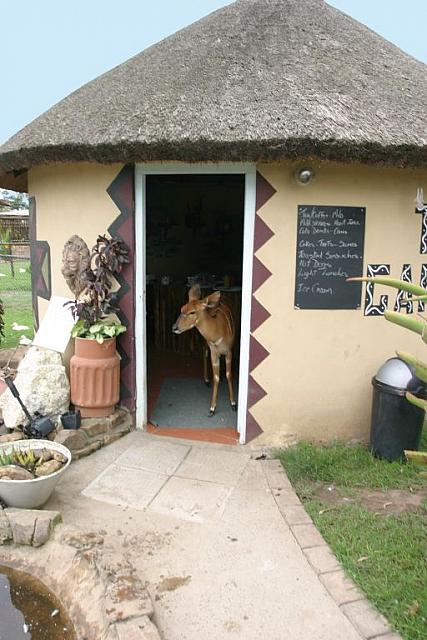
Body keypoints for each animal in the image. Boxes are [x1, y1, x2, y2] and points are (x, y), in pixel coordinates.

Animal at [172, 284, 237, 416]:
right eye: (181, 309)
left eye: (192, 312)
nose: (174, 328)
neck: (218, 333)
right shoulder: (214, 352)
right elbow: (216, 377)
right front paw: (212, 408)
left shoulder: (229, 351)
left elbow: (229, 374)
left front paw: (233, 404)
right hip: (206, 344)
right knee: (204, 352)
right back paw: (206, 380)